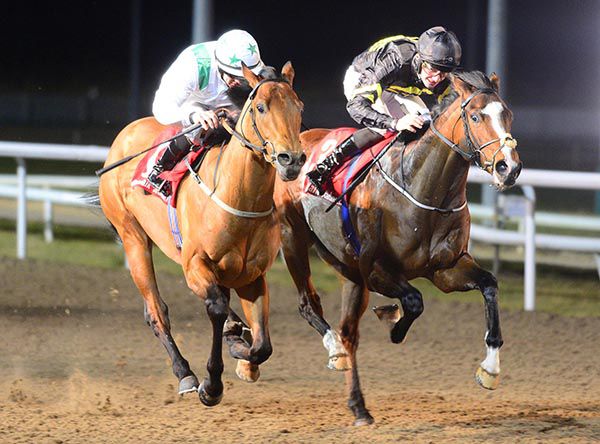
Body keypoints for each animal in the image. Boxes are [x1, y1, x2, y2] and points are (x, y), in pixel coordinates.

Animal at [99, 63, 305, 406]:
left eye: (298, 107)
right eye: (261, 108)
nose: (292, 160)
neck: (236, 197)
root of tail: (122, 138)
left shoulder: (252, 276)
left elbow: (262, 345)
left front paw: (244, 354)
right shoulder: (195, 265)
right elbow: (216, 309)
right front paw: (212, 384)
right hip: (133, 238)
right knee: (157, 312)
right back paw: (185, 373)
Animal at [274, 71, 522, 425]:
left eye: (508, 115)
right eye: (476, 117)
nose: (508, 167)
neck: (423, 188)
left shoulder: (446, 269)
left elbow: (489, 285)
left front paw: (489, 369)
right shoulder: (376, 270)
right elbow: (415, 300)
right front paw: (394, 325)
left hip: (344, 265)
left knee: (349, 331)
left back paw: (359, 406)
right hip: (292, 238)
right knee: (310, 307)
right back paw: (335, 352)